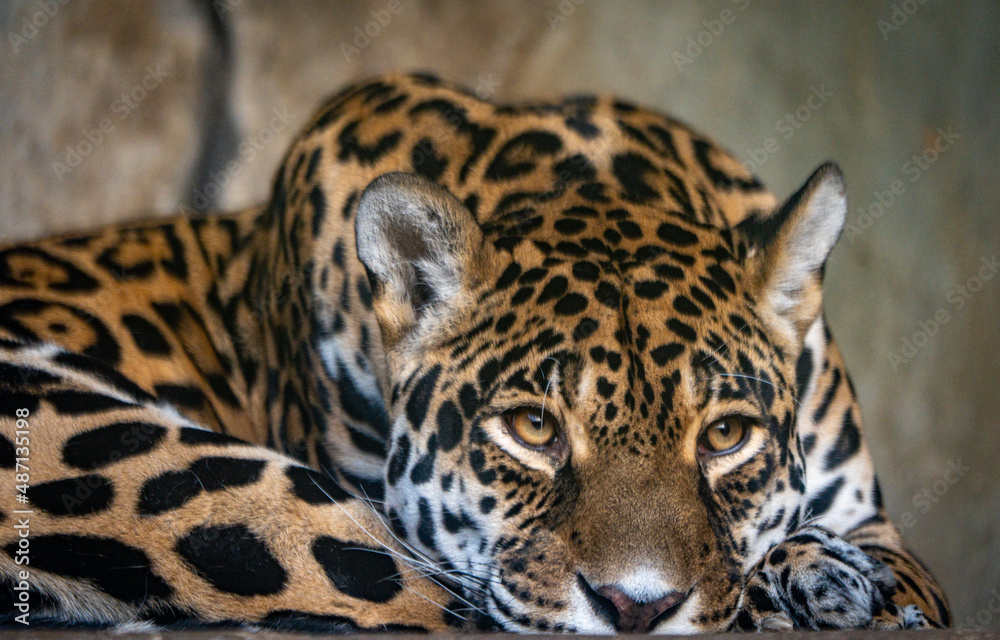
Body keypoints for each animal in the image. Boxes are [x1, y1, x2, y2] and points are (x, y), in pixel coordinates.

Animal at [0, 73, 949, 633]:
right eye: (532, 428)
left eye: (725, 437)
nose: (635, 610)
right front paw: (813, 580)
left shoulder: (882, 527)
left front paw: (826, 574)